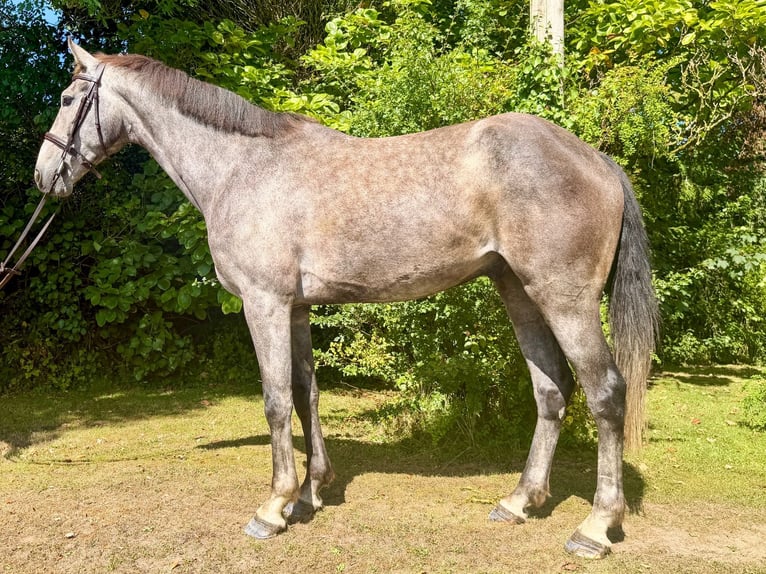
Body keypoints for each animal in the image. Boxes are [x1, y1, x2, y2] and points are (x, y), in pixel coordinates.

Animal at [35, 39, 658, 559]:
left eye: (66, 98)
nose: (44, 176)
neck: (242, 168)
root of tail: (598, 160)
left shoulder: (263, 303)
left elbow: (276, 400)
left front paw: (274, 506)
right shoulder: (296, 308)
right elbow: (307, 393)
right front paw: (311, 492)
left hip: (565, 299)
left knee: (606, 392)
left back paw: (596, 527)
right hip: (520, 293)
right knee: (551, 389)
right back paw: (520, 500)